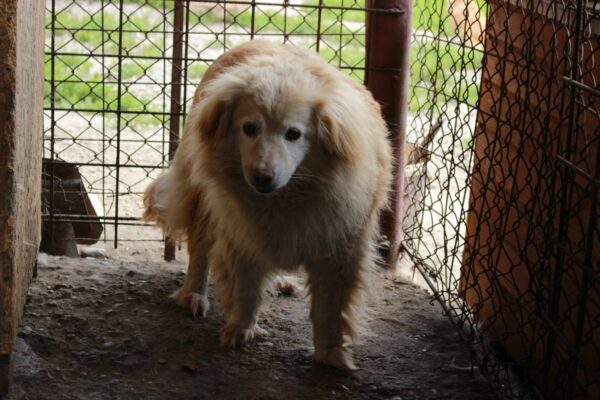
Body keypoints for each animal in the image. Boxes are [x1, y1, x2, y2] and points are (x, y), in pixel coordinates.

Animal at [142, 39, 392, 368]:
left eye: (294, 134)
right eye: (249, 128)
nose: (262, 176)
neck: (284, 199)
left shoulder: (340, 246)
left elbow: (328, 307)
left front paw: (330, 353)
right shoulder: (239, 233)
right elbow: (246, 286)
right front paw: (241, 327)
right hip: (203, 201)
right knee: (200, 249)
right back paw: (193, 294)